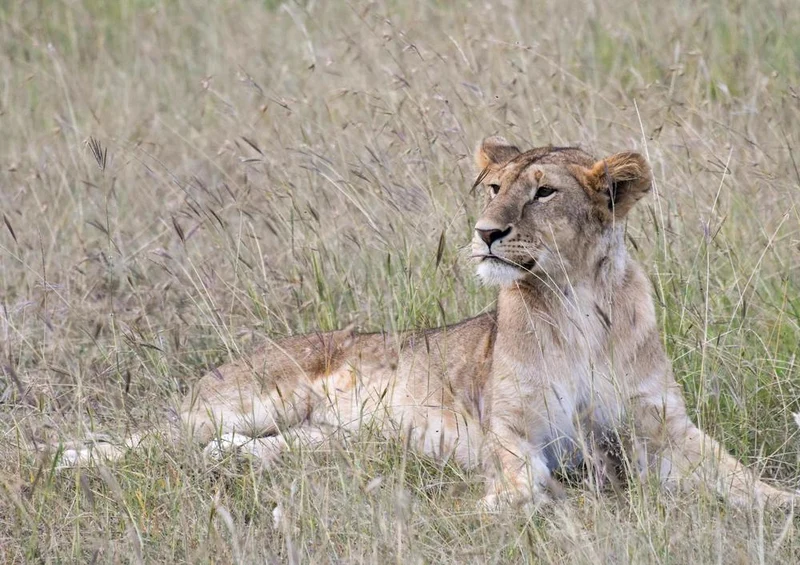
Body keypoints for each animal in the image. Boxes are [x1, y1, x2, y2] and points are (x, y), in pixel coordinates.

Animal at [54, 137, 799, 510]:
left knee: (235, 449)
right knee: (151, 438)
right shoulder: (513, 431)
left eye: (544, 192)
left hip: (319, 440)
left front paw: (781, 506)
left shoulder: (663, 429)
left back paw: (225, 461)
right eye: (494, 187)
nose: (486, 233)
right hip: (251, 397)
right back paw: (64, 458)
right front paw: (511, 506)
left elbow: (737, 476)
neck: (577, 300)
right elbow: (525, 480)